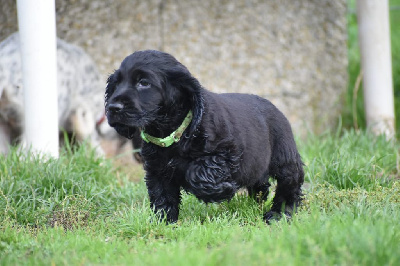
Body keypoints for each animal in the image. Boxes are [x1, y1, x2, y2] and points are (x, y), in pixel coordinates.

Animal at [105, 50, 304, 224]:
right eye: (117, 84)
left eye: (144, 83)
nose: (112, 108)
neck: (173, 132)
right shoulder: (157, 170)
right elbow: (162, 195)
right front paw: (163, 222)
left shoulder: (226, 153)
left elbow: (198, 173)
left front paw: (224, 190)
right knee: (261, 184)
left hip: (284, 157)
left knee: (290, 183)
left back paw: (279, 214)